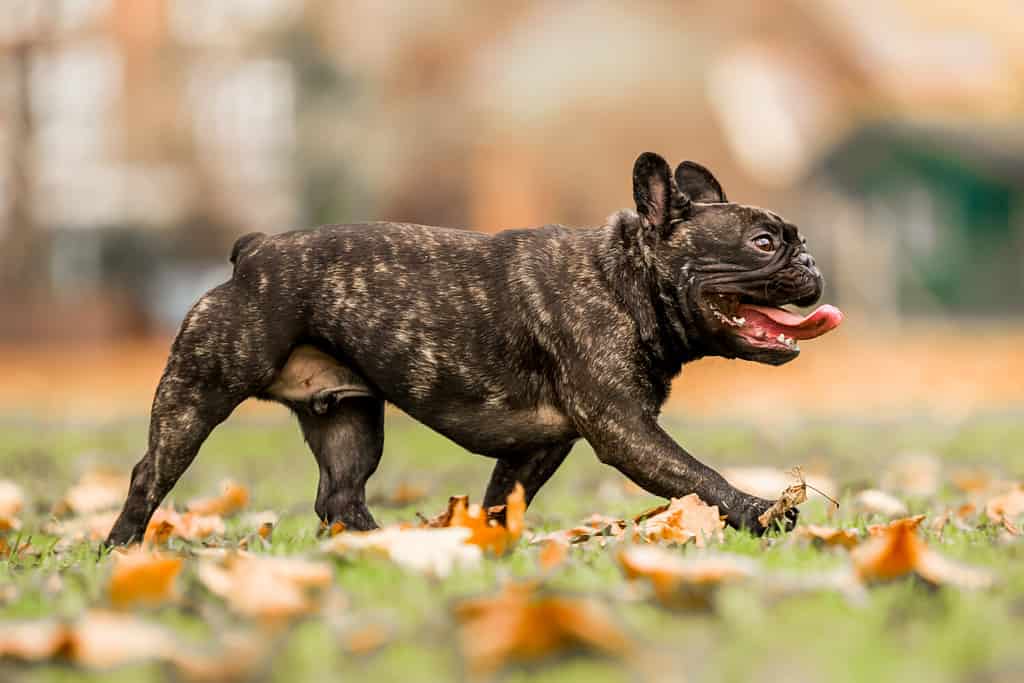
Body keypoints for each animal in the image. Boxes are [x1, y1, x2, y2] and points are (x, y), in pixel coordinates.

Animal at [105, 150, 839, 544]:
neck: (624, 277)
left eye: (796, 241)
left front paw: (484, 544)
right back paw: (121, 548)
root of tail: (253, 251)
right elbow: (697, 476)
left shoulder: (541, 443)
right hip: (199, 392)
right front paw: (761, 510)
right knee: (149, 473)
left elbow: (502, 498)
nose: (811, 260)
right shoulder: (625, 429)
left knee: (340, 494)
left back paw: (383, 550)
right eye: (764, 244)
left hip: (348, 418)